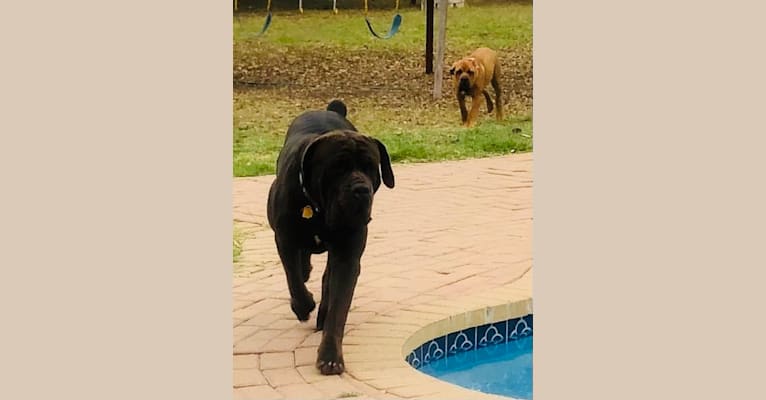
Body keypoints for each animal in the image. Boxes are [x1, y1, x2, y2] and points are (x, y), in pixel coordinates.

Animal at [268, 100, 396, 376]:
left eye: (371, 168)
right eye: (337, 168)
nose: (361, 190)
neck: (317, 209)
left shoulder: (348, 255)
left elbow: (339, 305)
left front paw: (330, 357)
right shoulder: (284, 237)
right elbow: (293, 277)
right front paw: (303, 305)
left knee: (327, 278)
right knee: (301, 267)